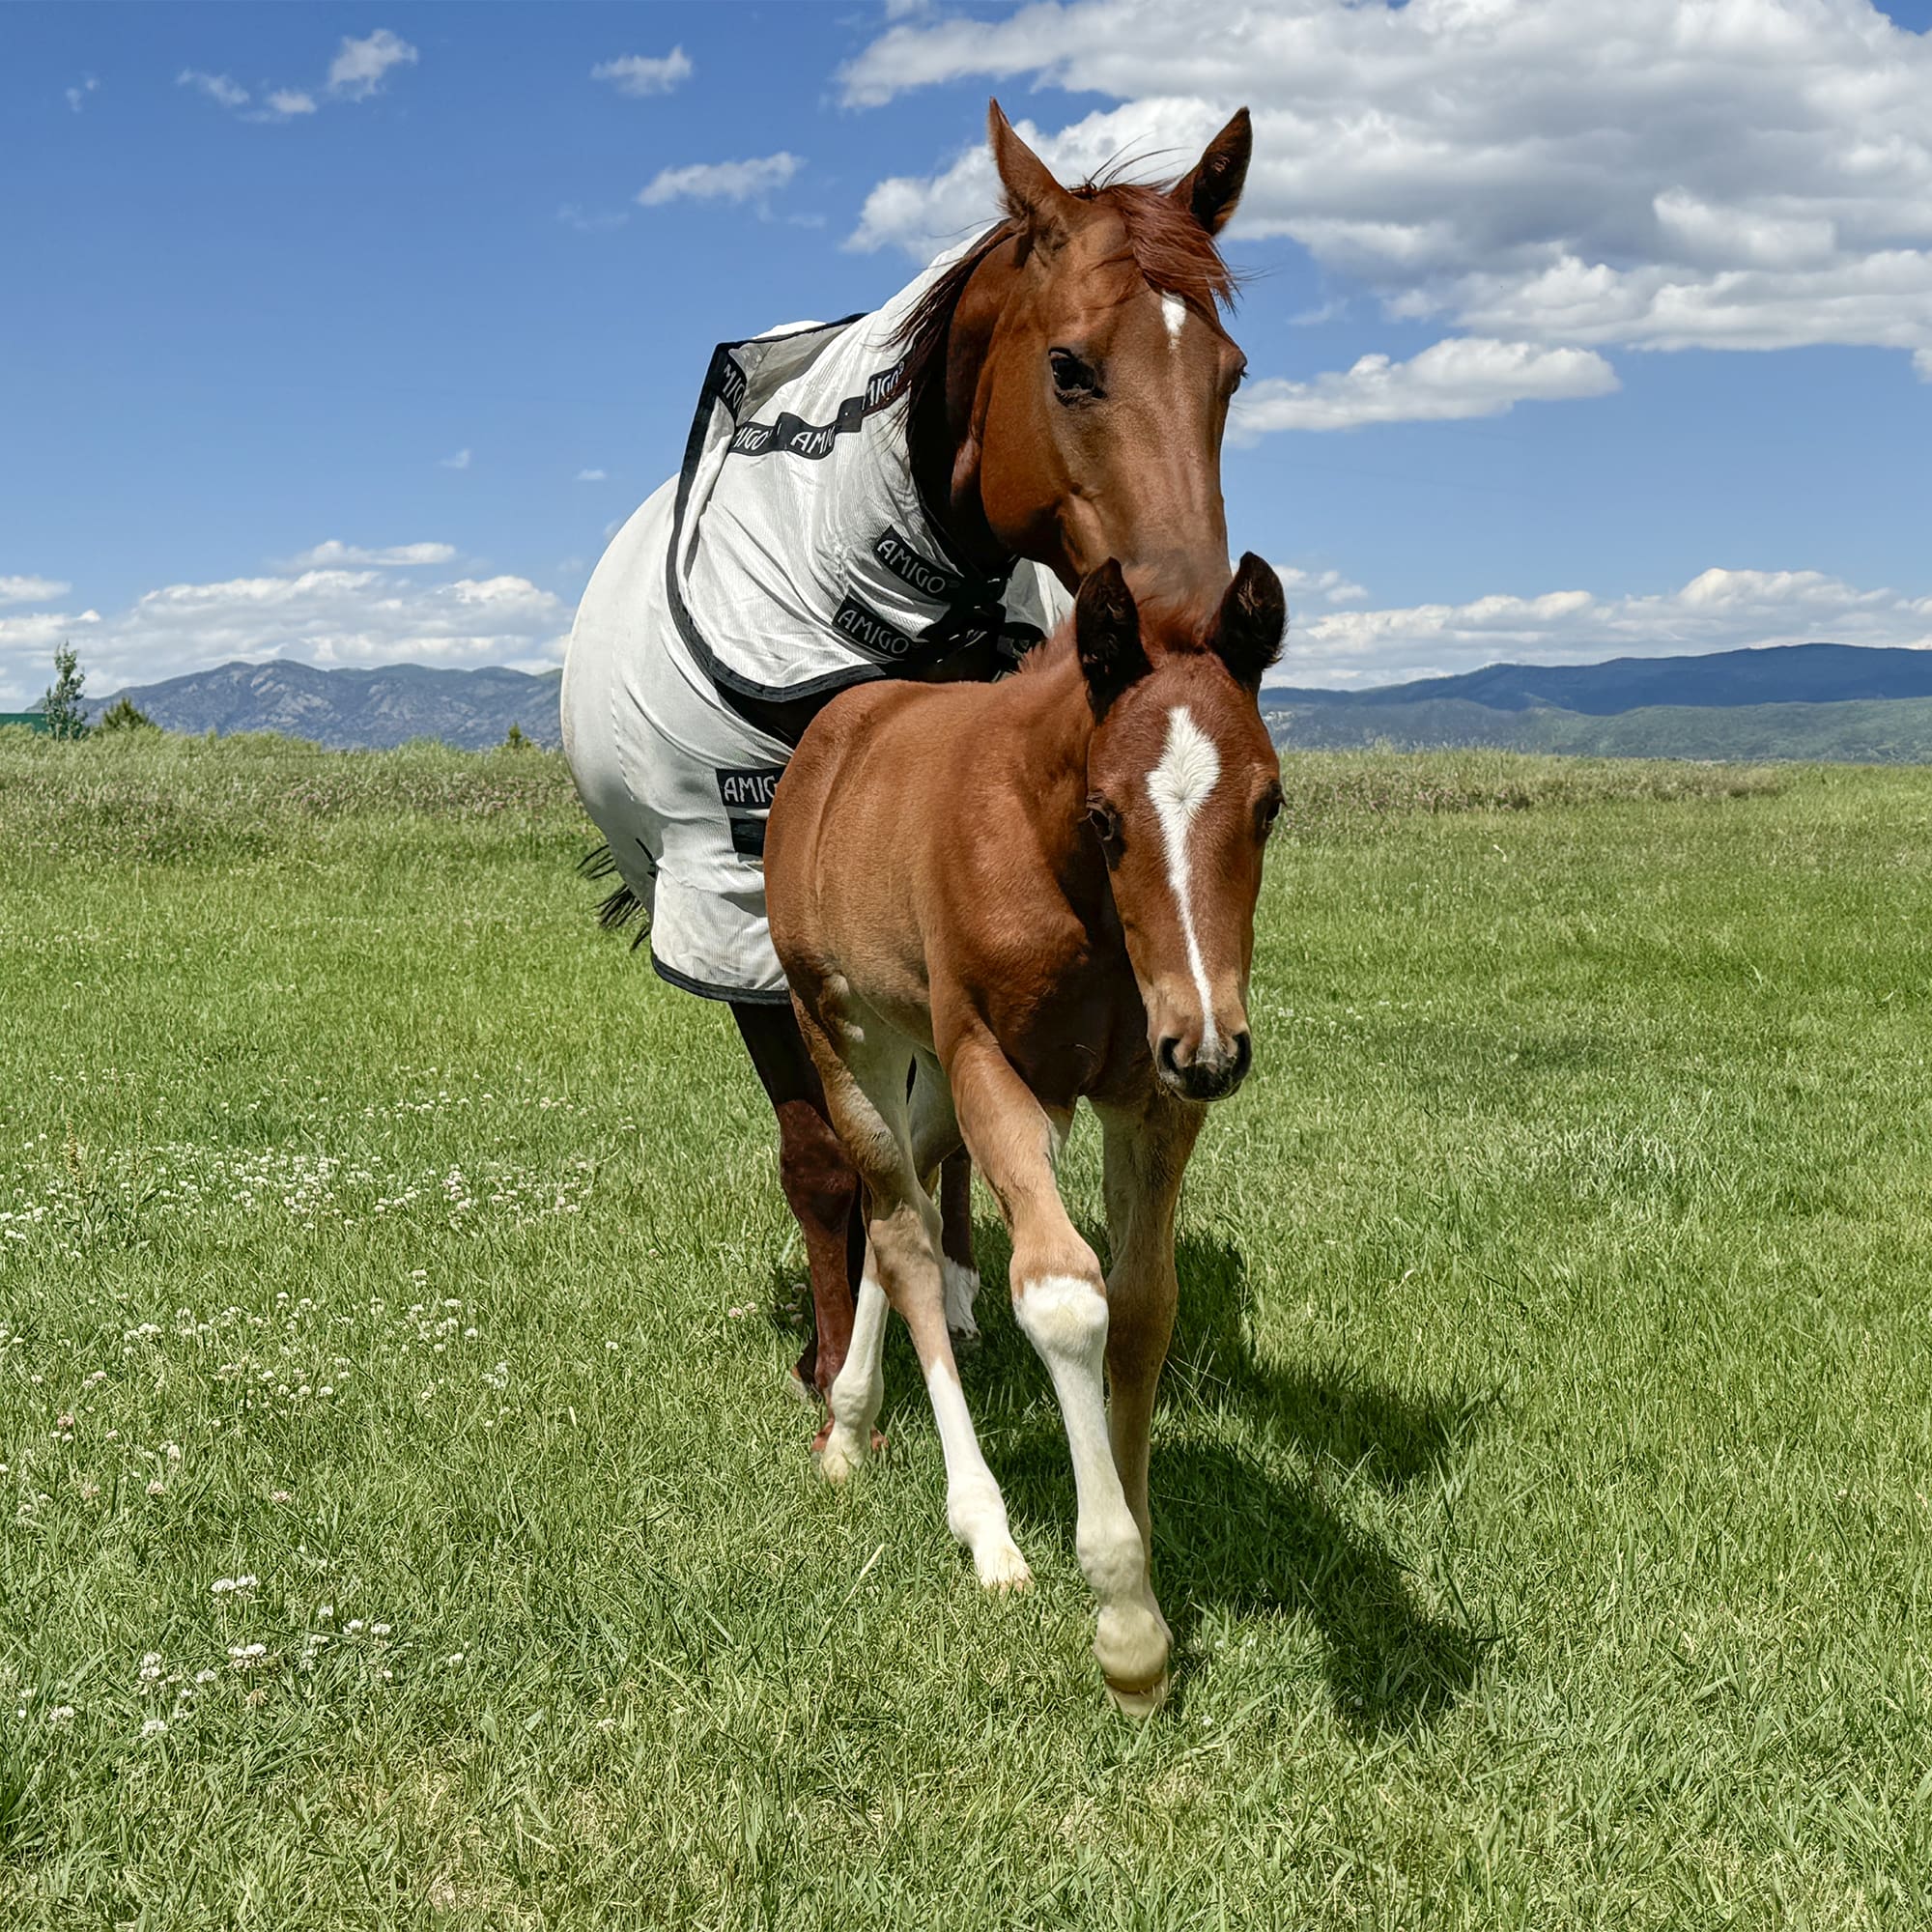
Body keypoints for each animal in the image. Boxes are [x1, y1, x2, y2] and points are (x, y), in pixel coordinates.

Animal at [562, 100, 1254, 1449]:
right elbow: (823, 1157)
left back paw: (964, 1284)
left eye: (1230, 374)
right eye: (1070, 366)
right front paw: (833, 1376)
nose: (1191, 627)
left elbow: (944, 1146)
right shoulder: (737, 917)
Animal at [764, 555, 1286, 1714]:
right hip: (847, 1033)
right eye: (1105, 816)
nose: (1216, 1049)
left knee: (906, 1200)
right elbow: (1061, 1295)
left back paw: (853, 1418)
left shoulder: (1150, 1095)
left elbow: (1145, 1301)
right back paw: (971, 1516)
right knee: (903, 1231)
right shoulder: (988, 1067)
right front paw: (1126, 1626)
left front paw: (1144, 1550)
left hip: (925, 1061)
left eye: (1271, 804)